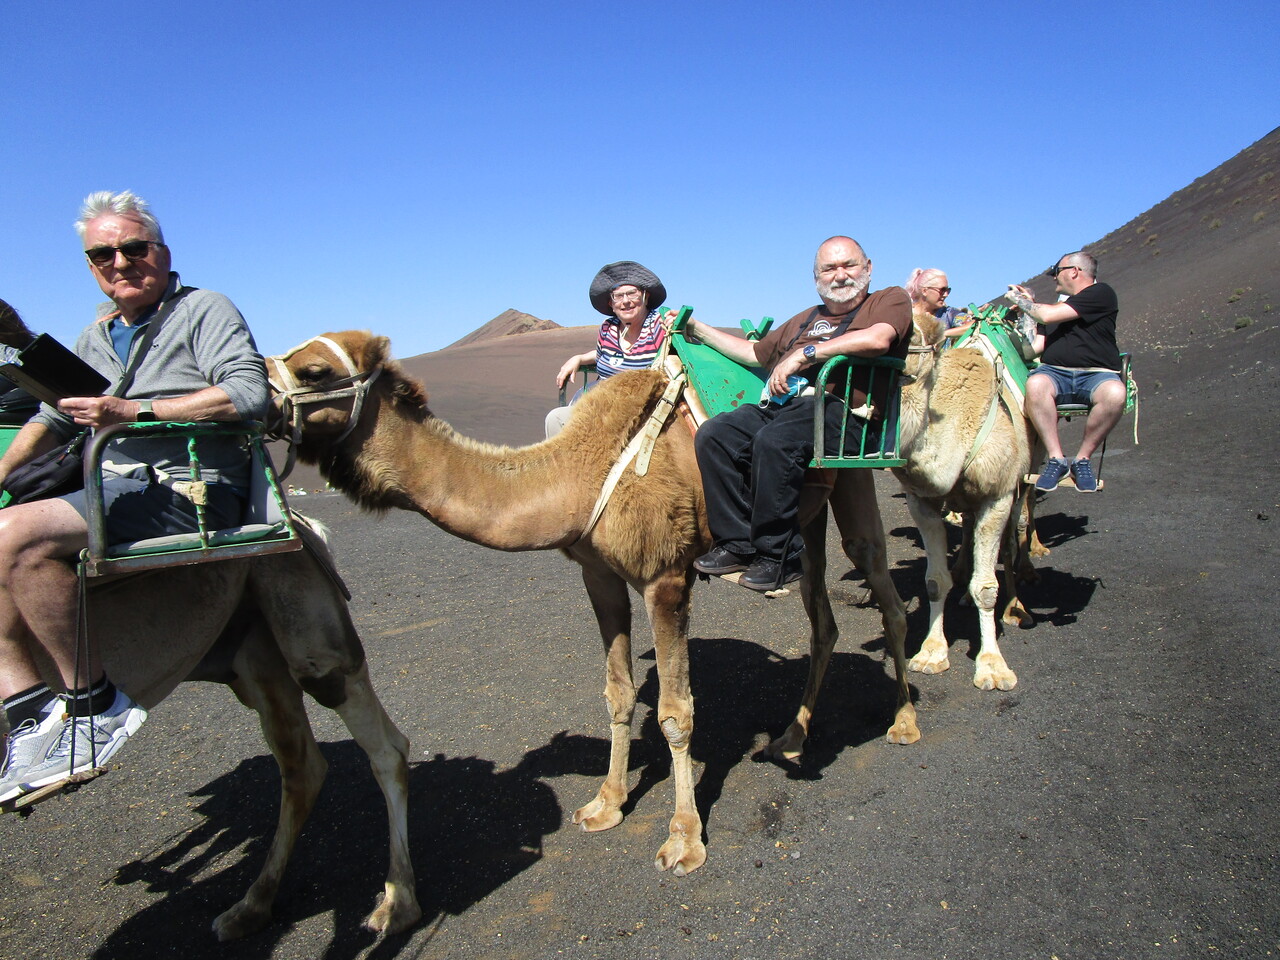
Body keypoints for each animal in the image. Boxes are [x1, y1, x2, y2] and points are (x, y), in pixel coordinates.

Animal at [6, 522, 419, 942]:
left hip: (307, 630)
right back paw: (252, 906)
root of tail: (304, 525)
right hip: (253, 657)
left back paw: (397, 904)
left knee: (380, 744)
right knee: (304, 768)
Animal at [264, 335, 921, 875]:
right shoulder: (599, 576)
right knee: (822, 619)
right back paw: (791, 737)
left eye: (316, 369)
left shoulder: (666, 577)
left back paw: (904, 722)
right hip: (809, 512)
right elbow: (618, 692)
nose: (256, 394)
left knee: (885, 596)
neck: (582, 470)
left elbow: (676, 713)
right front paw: (606, 804)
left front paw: (683, 840)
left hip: (855, 478)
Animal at [890, 317, 1039, 691]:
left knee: (1016, 532)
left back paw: (1017, 605)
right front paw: (931, 652)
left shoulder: (997, 495)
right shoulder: (922, 501)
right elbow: (934, 581)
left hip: (1029, 470)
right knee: (971, 529)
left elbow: (986, 587)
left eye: (907, 336)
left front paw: (993, 666)